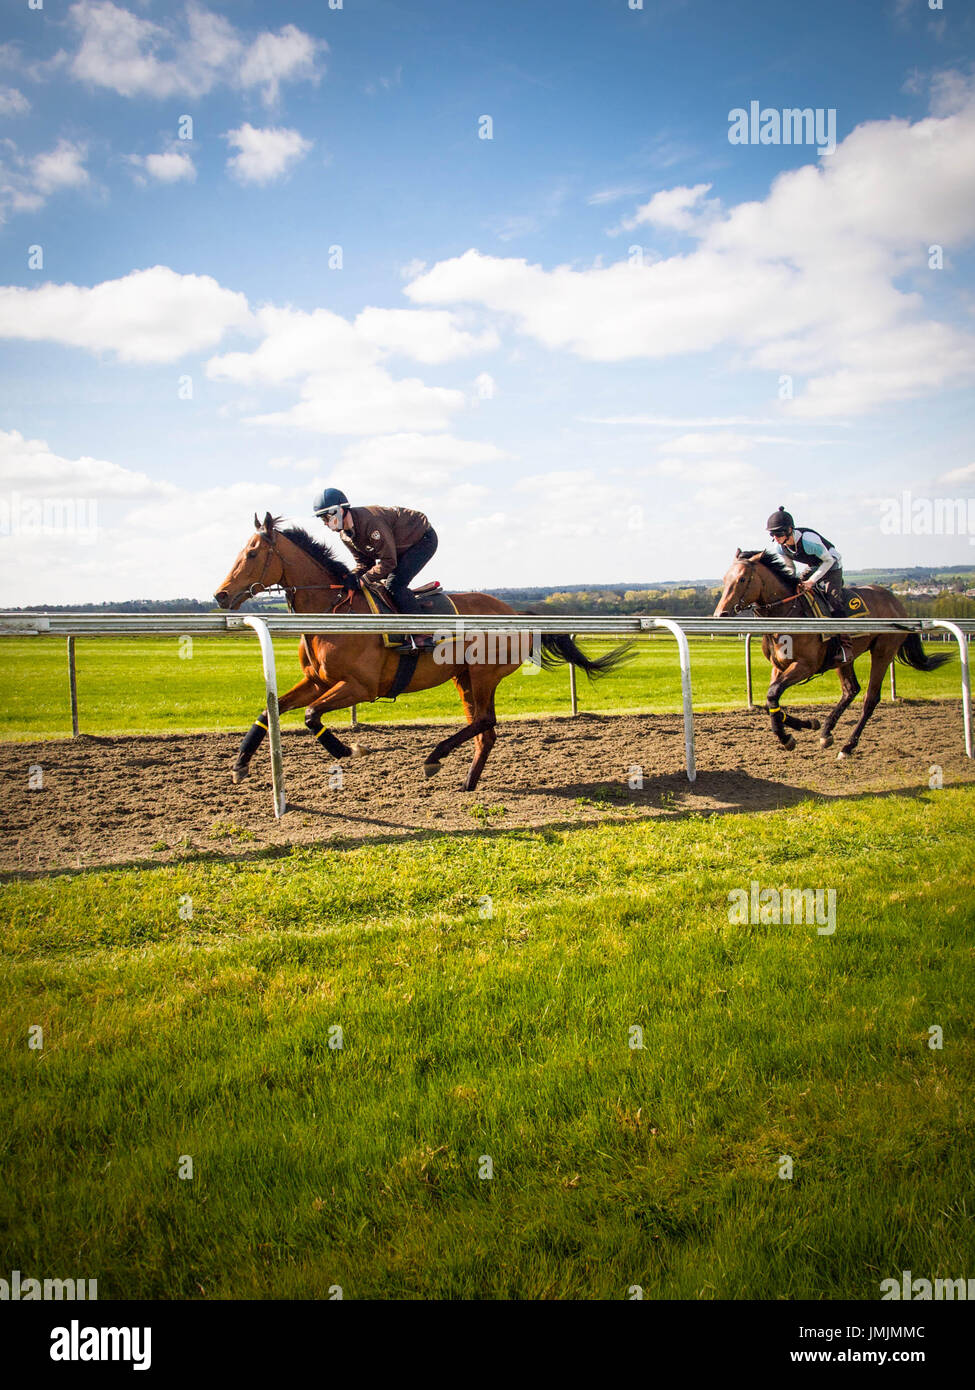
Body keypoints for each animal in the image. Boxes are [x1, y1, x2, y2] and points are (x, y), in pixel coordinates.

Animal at [211, 514, 623, 795]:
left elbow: (312, 716)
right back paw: (466, 782)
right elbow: (270, 711)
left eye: (252, 553)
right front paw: (239, 765)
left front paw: (348, 749)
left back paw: (434, 757)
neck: (336, 610)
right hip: (463, 678)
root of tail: (514, 612)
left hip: (483, 674)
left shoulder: (360, 687)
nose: (220, 595)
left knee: (485, 721)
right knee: (486, 730)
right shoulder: (317, 681)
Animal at [712, 547, 945, 761]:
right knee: (851, 689)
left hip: (883, 651)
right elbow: (772, 699)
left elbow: (772, 694)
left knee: (870, 698)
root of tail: (896, 602)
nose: (720, 614)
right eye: (724, 578)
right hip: (844, 658)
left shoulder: (806, 665)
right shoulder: (778, 666)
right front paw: (806, 724)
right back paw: (826, 732)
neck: (788, 614)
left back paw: (847, 747)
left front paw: (787, 737)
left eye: (742, 579)